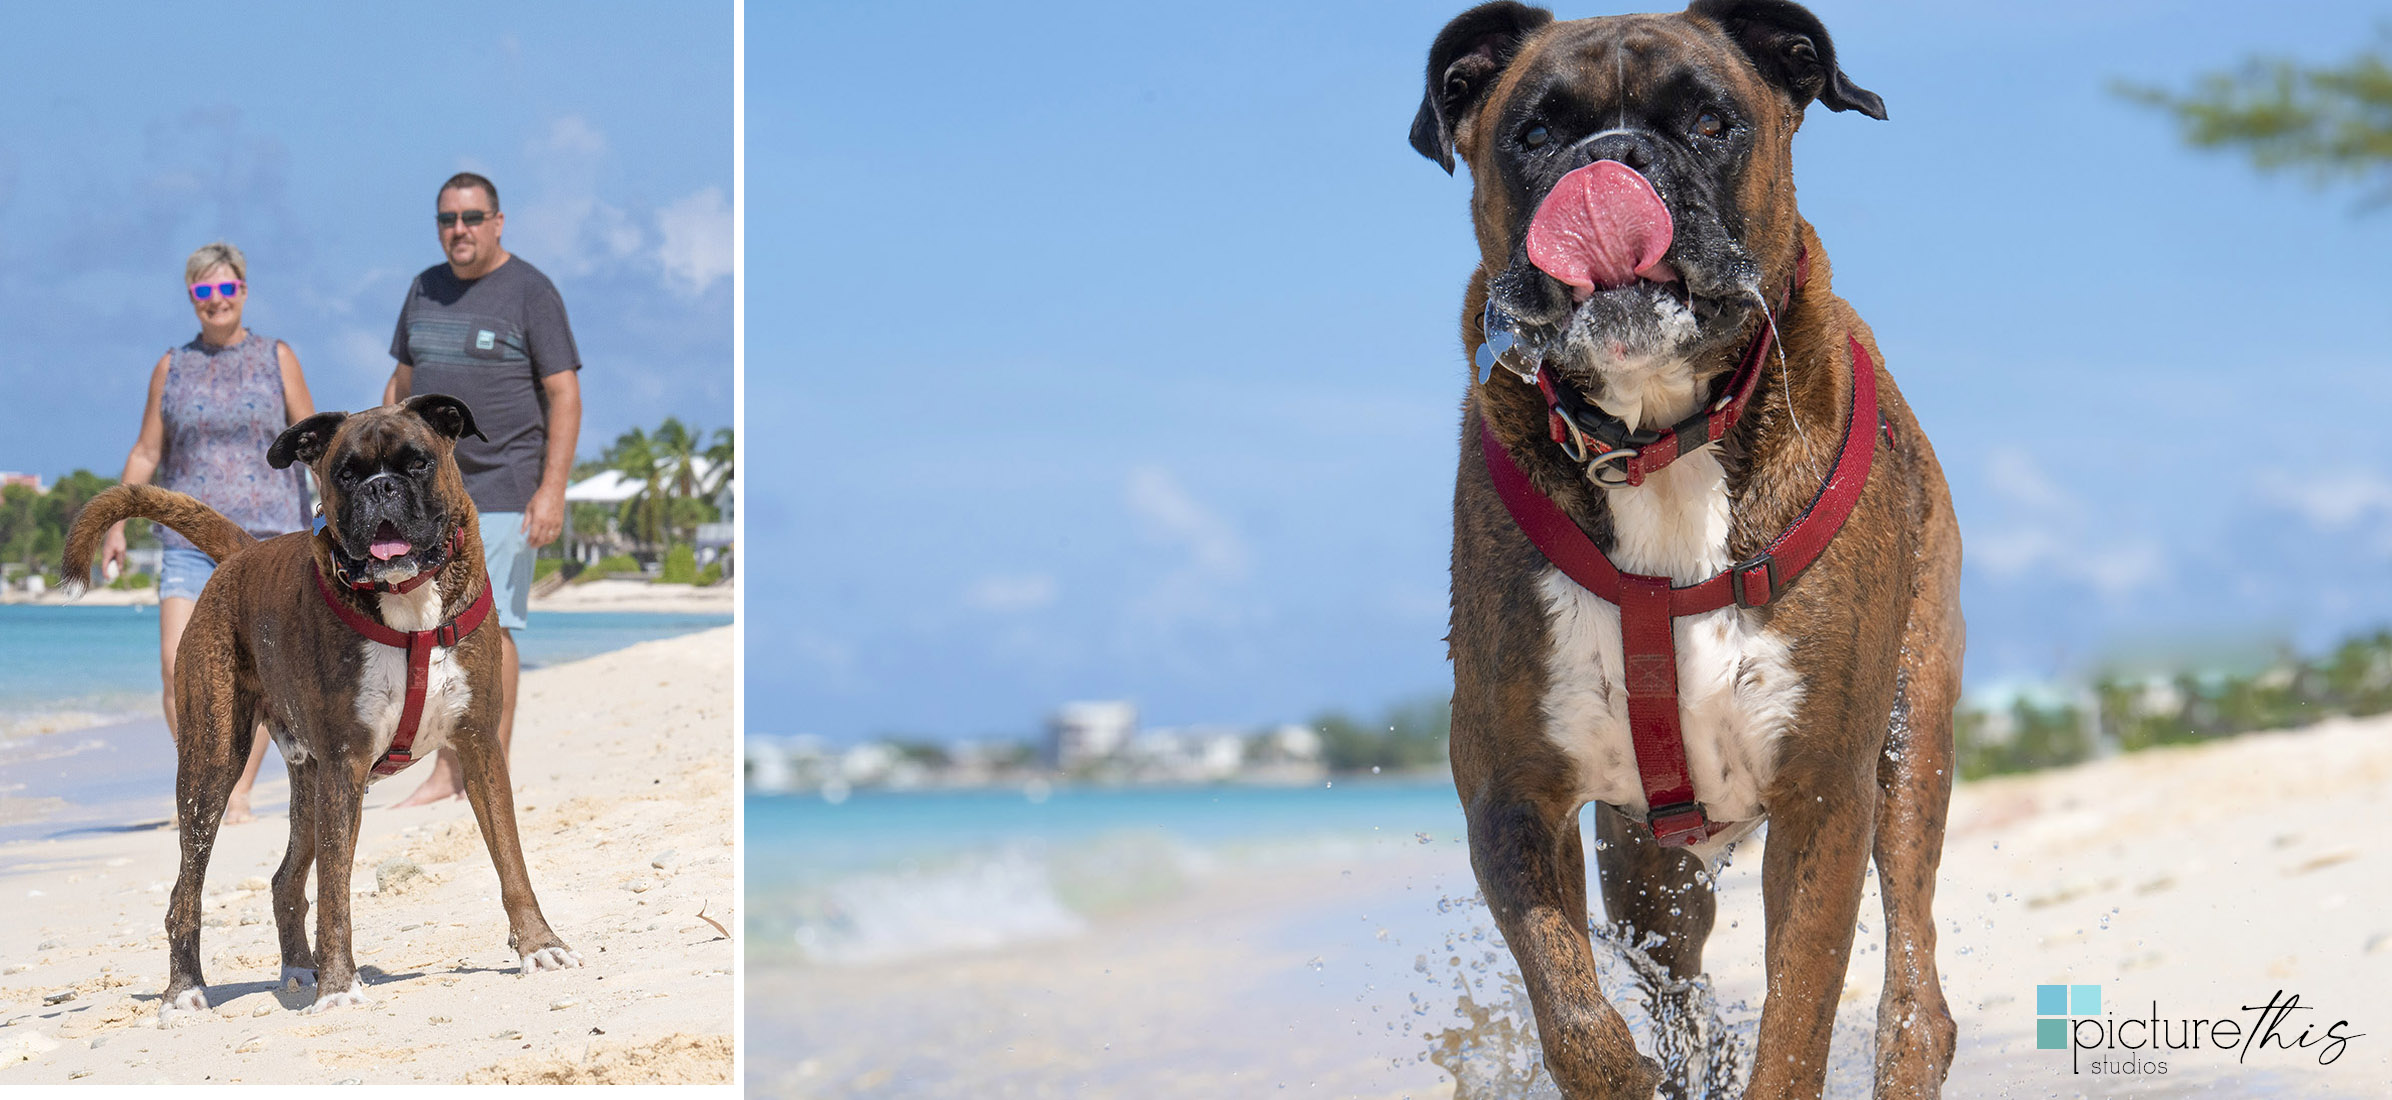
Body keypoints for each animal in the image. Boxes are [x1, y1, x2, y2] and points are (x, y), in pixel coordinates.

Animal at [60, 392, 583, 1013]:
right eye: (346, 474)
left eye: (418, 463)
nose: (380, 488)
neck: (406, 602)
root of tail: (244, 554)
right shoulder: (345, 764)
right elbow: (336, 890)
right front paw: (338, 986)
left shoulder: (478, 747)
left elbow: (510, 857)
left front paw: (540, 946)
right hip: (212, 770)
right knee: (186, 891)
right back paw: (186, 989)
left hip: (305, 784)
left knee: (285, 879)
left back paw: (295, 968)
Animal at [1406, 2, 1951, 1100]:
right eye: (1535, 133)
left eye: (1708, 122)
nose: (1610, 159)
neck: (1657, 436)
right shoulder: (1508, 790)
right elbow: (1573, 1014)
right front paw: (1632, 1071)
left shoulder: (1822, 798)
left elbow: (1797, 1020)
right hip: (1648, 871)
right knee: (1678, 986)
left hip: (1911, 742)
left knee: (1915, 980)